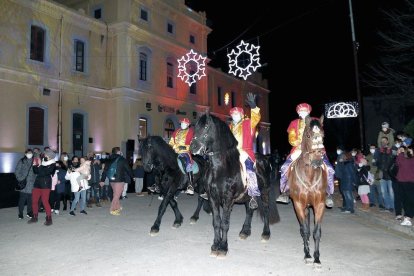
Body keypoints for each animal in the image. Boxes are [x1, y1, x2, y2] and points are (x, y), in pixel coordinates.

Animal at [189, 111, 280, 256]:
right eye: (195, 126)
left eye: (206, 127)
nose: (193, 147)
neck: (221, 168)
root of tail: (265, 159)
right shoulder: (213, 198)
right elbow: (216, 222)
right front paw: (215, 245)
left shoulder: (227, 199)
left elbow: (225, 223)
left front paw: (223, 247)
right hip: (248, 195)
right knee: (249, 210)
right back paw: (245, 231)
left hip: (265, 192)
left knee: (265, 210)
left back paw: (266, 233)